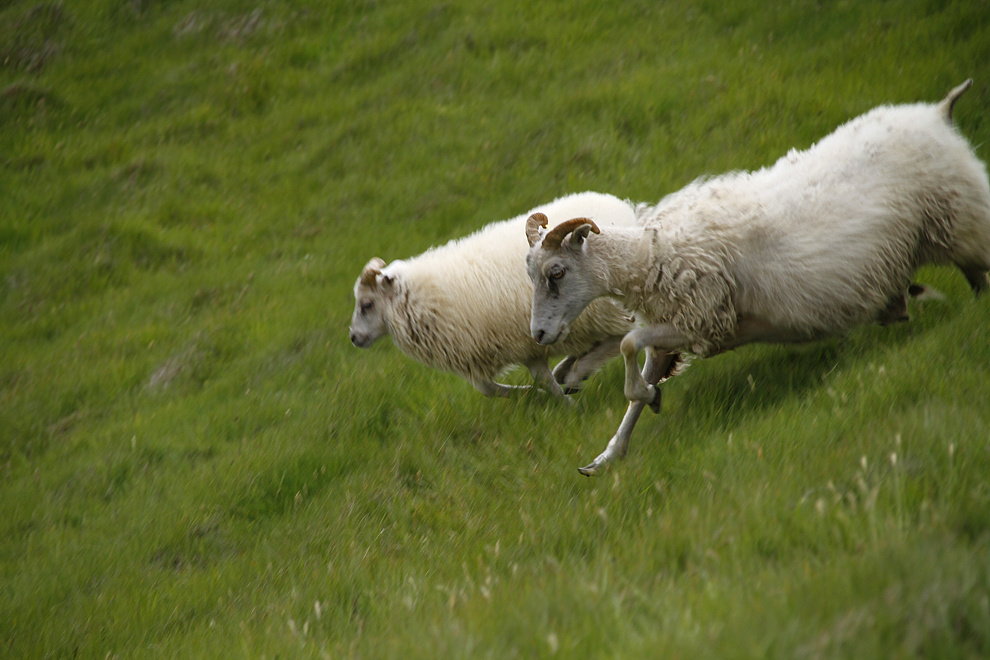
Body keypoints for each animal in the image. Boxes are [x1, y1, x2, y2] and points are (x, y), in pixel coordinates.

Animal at [352, 191, 640, 400]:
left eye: (367, 304)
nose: (353, 337)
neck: (420, 298)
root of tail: (623, 206)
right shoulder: (500, 350)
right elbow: (489, 389)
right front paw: (531, 395)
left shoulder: (522, 344)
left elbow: (542, 381)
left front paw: (562, 401)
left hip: (609, 311)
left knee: (620, 337)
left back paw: (577, 372)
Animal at [528, 80, 990, 474]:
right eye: (530, 274)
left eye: (556, 272)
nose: (537, 335)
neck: (648, 255)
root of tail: (936, 113)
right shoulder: (678, 327)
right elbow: (636, 384)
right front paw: (610, 453)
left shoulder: (707, 320)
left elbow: (628, 347)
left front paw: (647, 397)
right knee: (977, 282)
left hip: (961, 219)